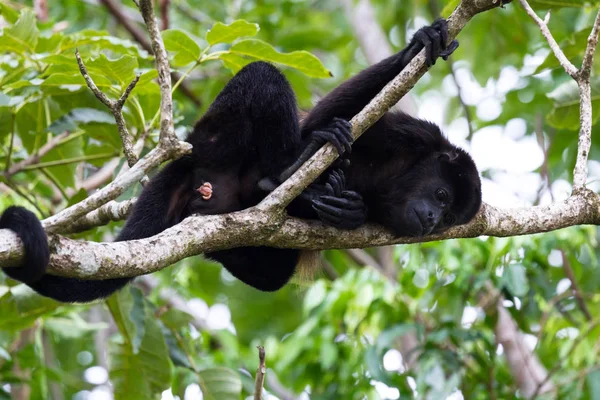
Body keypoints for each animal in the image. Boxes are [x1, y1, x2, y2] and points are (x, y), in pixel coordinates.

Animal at [0, 17, 478, 302]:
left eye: (451, 216)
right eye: (441, 194)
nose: (433, 220)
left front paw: (347, 210)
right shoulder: (411, 132)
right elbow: (331, 113)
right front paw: (418, 44)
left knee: (270, 275)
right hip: (213, 136)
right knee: (263, 77)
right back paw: (287, 170)